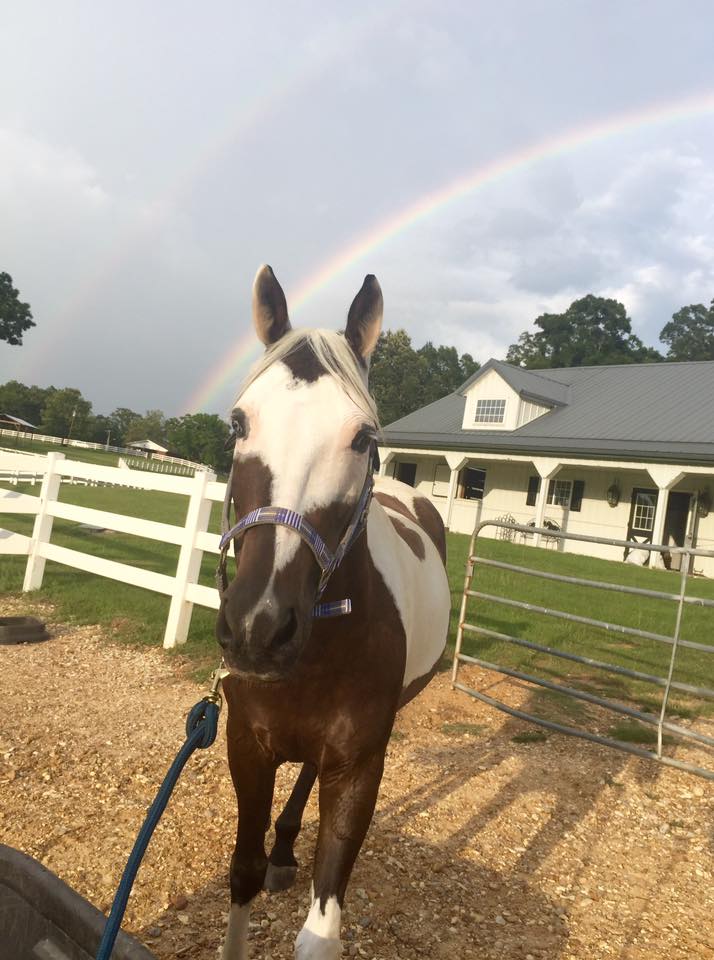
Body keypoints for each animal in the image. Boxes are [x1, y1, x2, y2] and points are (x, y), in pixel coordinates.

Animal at [216, 265, 451, 959]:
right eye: (238, 423)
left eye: (362, 437)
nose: (259, 627)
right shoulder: (246, 745)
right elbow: (241, 872)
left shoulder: (360, 765)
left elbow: (320, 933)